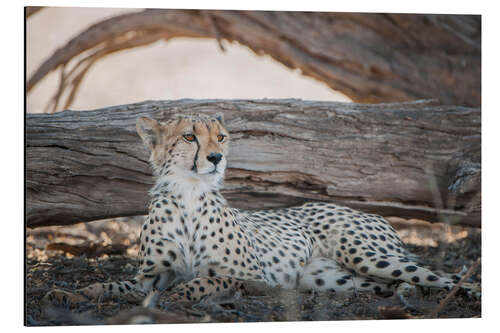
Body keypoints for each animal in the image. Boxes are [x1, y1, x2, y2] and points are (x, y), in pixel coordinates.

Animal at [45, 113, 478, 304]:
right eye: (189, 136)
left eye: (220, 137)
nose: (216, 158)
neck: (189, 194)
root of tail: (370, 212)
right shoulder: (151, 275)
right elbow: (117, 285)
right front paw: (74, 292)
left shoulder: (252, 276)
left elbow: (205, 281)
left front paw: (178, 297)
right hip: (337, 279)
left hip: (366, 255)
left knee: (442, 276)